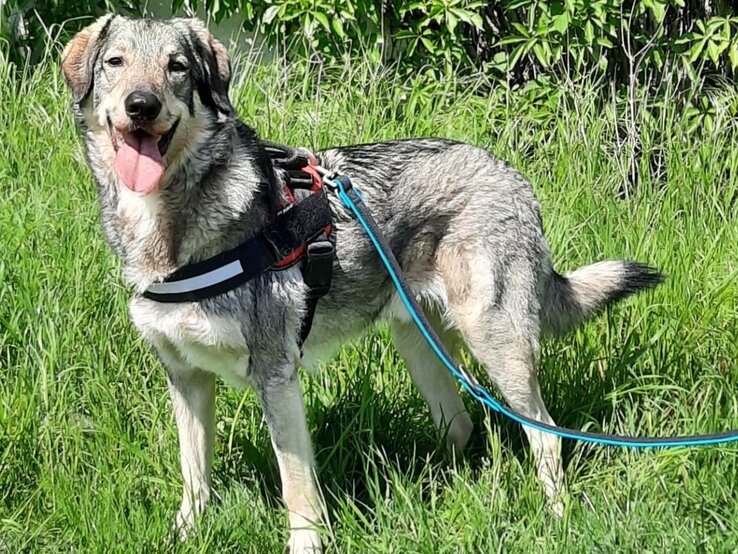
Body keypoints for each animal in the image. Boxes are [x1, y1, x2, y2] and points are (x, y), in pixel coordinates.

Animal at [61, 14, 660, 552]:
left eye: (177, 67)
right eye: (116, 63)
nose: (142, 105)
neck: (167, 229)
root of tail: (511, 174)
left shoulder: (276, 376)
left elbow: (297, 490)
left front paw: (305, 544)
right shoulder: (185, 377)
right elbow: (195, 481)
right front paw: (187, 536)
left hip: (497, 345)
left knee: (545, 433)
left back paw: (554, 517)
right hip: (422, 349)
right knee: (463, 427)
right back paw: (439, 495)